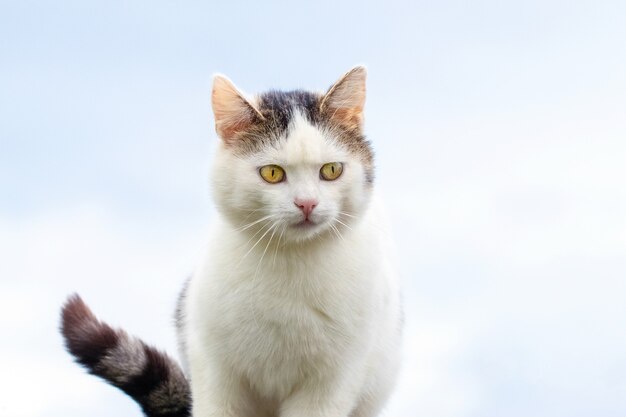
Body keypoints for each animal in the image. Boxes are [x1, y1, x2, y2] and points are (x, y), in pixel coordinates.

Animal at [61, 66, 402, 416]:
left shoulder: (331, 383)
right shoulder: (213, 369)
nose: (307, 203)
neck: (289, 262)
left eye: (331, 170)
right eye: (272, 174)